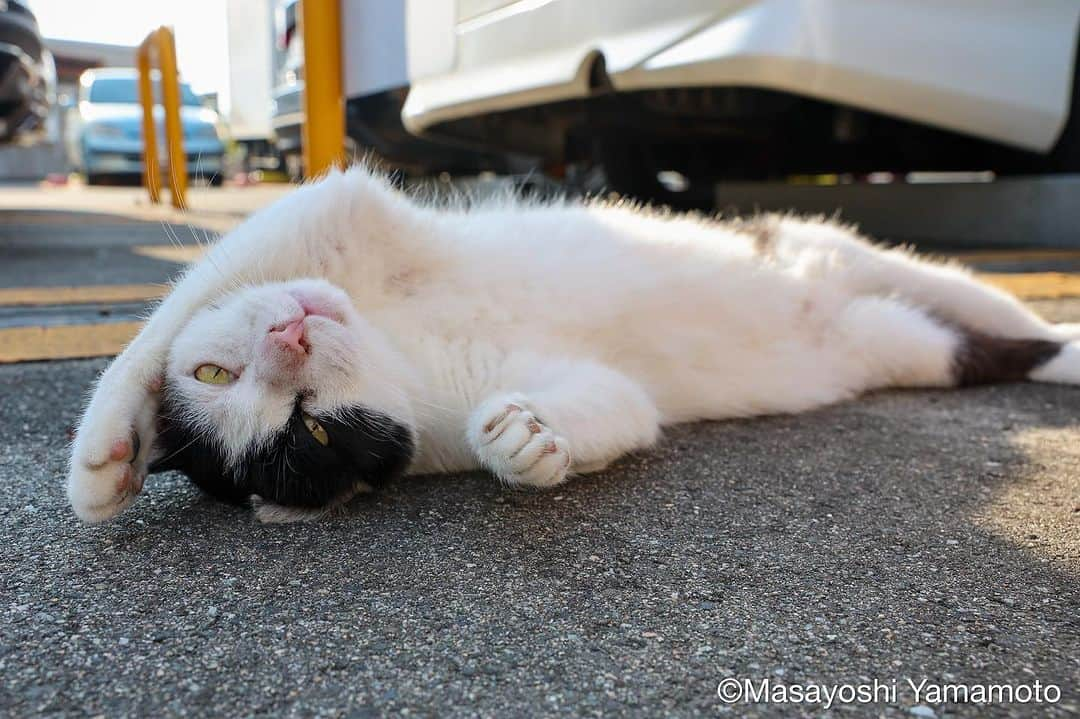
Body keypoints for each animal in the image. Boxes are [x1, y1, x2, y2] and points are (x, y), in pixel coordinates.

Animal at [65, 166, 1080, 520]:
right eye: (309, 429)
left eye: (215, 370)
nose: (290, 335)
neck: (404, 345)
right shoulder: (564, 388)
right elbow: (615, 404)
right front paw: (526, 443)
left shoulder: (343, 210)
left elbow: (175, 308)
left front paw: (108, 451)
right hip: (900, 344)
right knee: (985, 345)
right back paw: (1064, 354)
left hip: (853, 254)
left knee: (976, 295)